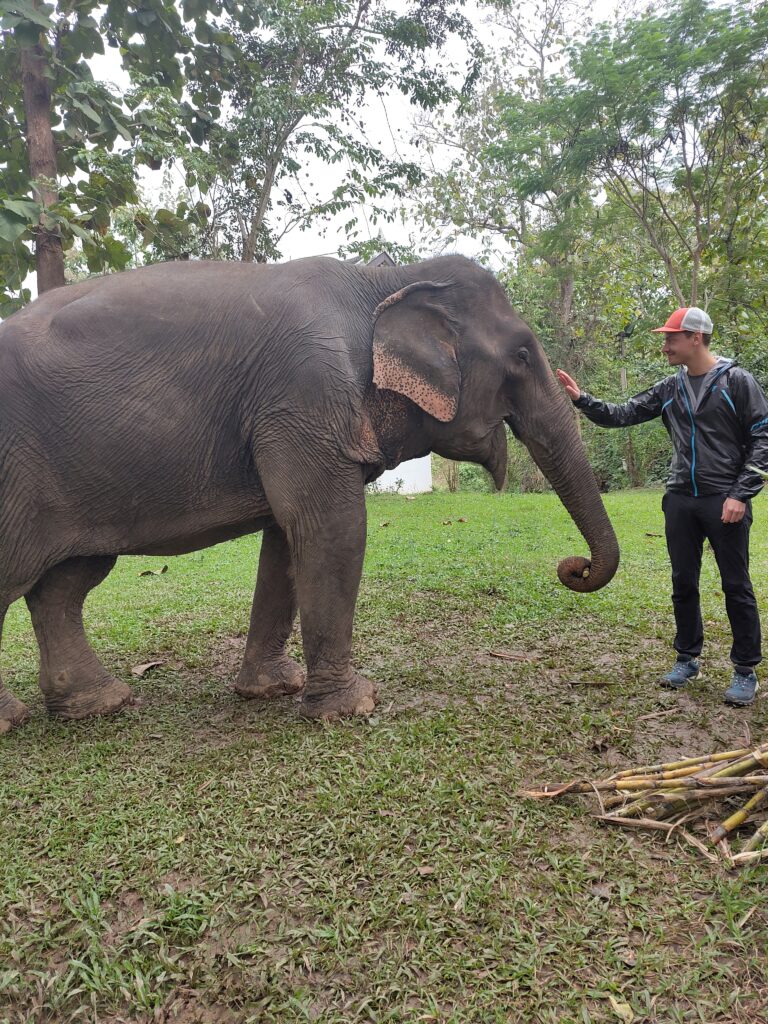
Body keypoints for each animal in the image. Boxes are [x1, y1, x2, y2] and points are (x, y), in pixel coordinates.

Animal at [0, 255, 619, 730]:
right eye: (522, 354)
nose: (574, 567)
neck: (381, 279)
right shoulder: (302, 395)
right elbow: (331, 528)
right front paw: (351, 708)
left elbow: (285, 540)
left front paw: (273, 689)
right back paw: (16, 720)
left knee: (64, 586)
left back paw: (99, 704)